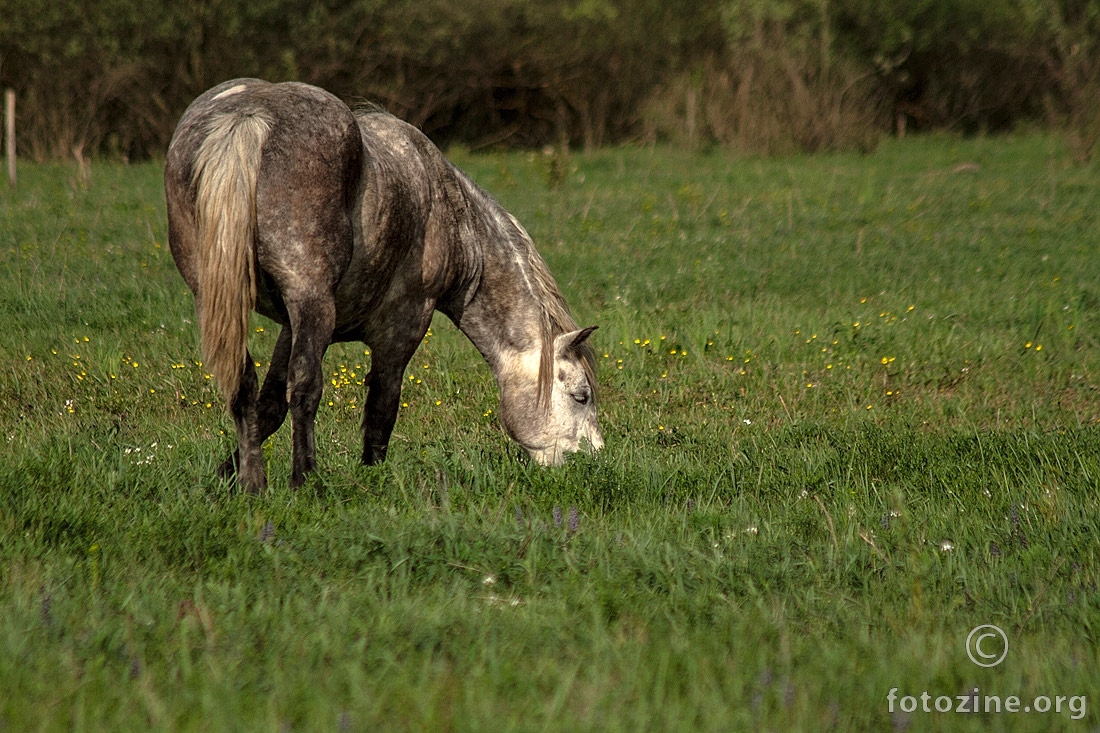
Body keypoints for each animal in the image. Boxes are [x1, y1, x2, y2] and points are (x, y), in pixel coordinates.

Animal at [162, 78, 602, 490]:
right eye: (581, 396)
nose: (594, 463)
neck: (452, 216)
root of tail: (248, 116)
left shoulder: (290, 323)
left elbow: (269, 405)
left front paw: (228, 474)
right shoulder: (403, 326)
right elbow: (381, 407)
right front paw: (371, 478)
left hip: (226, 300)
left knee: (244, 382)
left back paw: (254, 483)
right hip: (310, 299)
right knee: (306, 387)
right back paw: (305, 479)